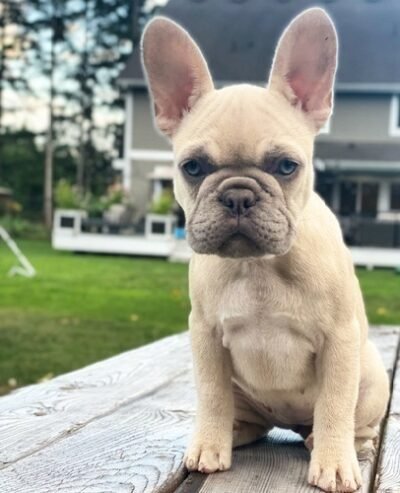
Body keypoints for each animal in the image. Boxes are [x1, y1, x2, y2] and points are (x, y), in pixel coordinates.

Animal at [142, 8, 390, 492]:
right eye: (193, 167)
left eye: (286, 166)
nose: (238, 195)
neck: (257, 266)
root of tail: (290, 424)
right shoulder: (205, 336)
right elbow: (212, 395)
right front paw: (210, 444)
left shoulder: (340, 340)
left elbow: (334, 403)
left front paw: (334, 463)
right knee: (243, 415)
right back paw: (233, 432)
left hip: (371, 375)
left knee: (351, 420)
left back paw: (340, 444)